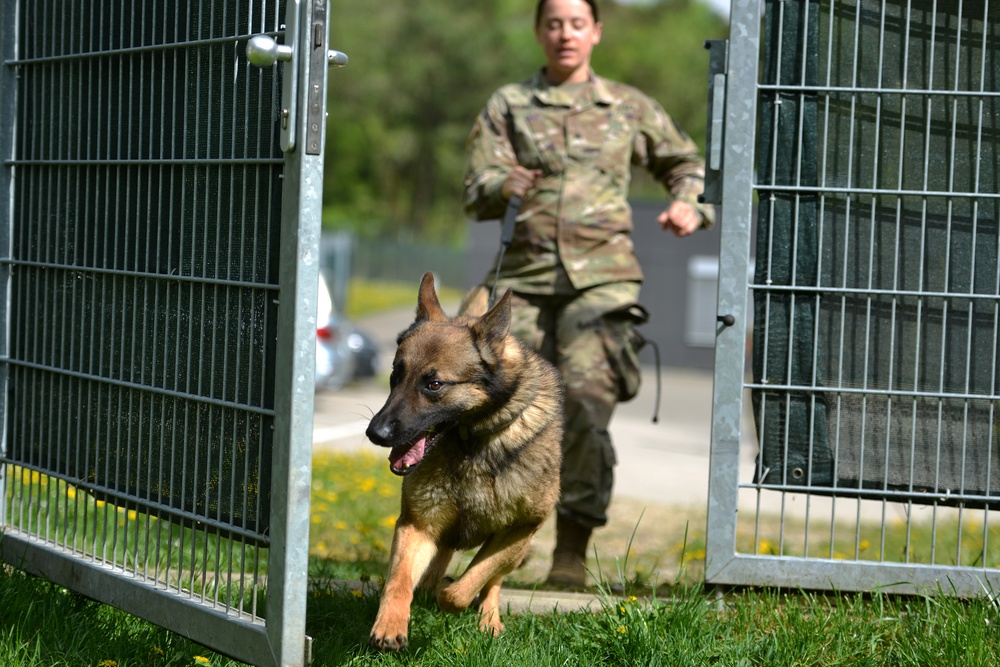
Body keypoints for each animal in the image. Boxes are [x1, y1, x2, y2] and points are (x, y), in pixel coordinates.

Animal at [368, 272, 568, 652]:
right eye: (395, 375)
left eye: (434, 384)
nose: (376, 433)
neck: (471, 444)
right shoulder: (417, 523)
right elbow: (399, 580)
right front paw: (390, 623)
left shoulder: (522, 528)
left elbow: (468, 584)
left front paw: (453, 597)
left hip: (517, 547)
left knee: (491, 581)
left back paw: (488, 618)